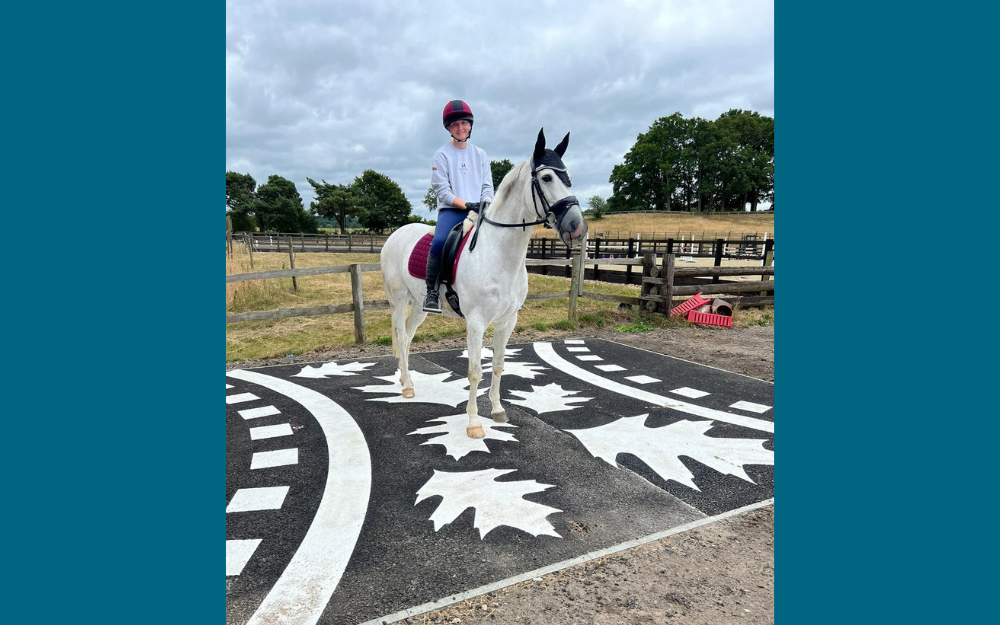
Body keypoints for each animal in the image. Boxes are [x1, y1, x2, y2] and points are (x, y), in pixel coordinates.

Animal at [380, 129, 584, 436]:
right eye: (547, 178)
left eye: (568, 176)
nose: (577, 226)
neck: (498, 252)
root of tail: (396, 234)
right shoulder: (476, 322)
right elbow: (475, 371)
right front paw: (474, 423)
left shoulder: (507, 321)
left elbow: (498, 365)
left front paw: (497, 410)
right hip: (399, 300)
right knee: (401, 337)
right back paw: (407, 387)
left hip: (419, 305)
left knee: (407, 337)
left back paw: (408, 382)